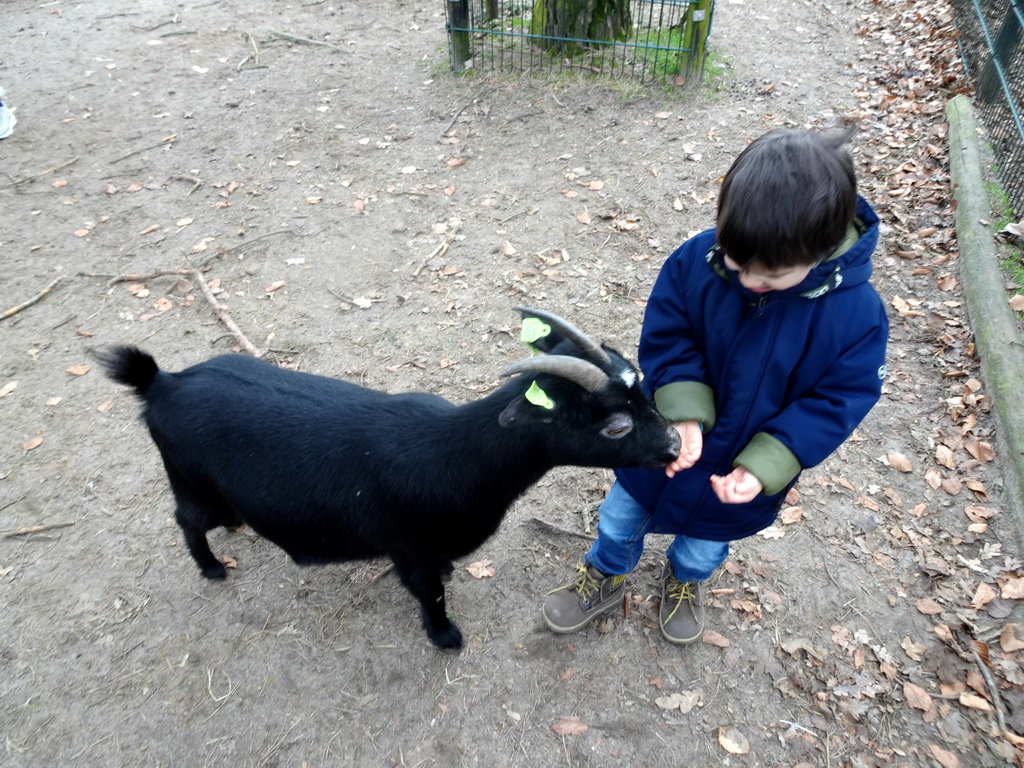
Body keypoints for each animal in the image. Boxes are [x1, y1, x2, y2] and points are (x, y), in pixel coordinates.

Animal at [99, 307, 684, 651]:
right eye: (615, 425)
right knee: (186, 519)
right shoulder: (408, 546)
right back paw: (212, 567)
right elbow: (430, 593)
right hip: (193, 483)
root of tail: (162, 383)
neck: (457, 457)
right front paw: (446, 637)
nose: (676, 446)